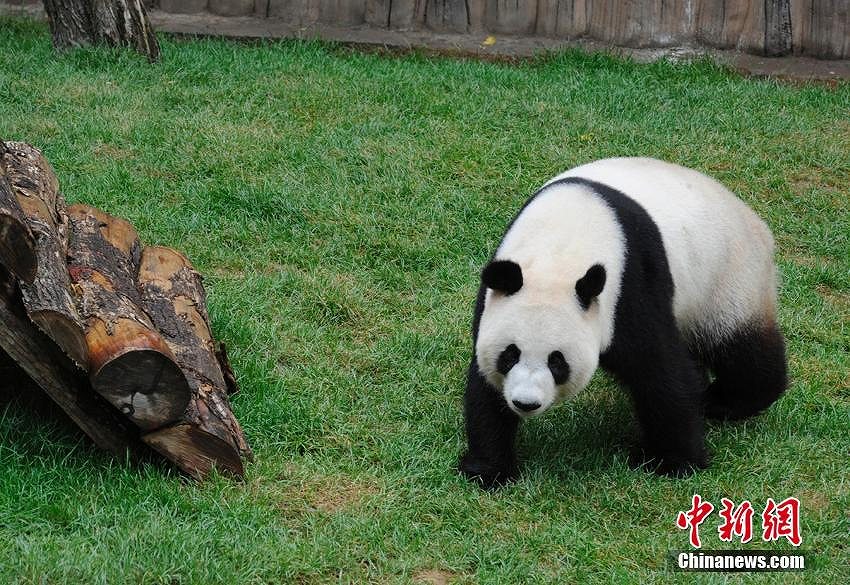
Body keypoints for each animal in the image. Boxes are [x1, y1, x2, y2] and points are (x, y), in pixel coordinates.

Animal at [460, 157, 784, 486]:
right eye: (509, 355)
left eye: (557, 361)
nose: (526, 403)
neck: (558, 249)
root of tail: (756, 223)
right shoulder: (492, 302)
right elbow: (484, 387)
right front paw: (487, 469)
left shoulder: (631, 286)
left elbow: (660, 372)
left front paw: (674, 462)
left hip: (727, 282)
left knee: (740, 349)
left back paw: (727, 401)